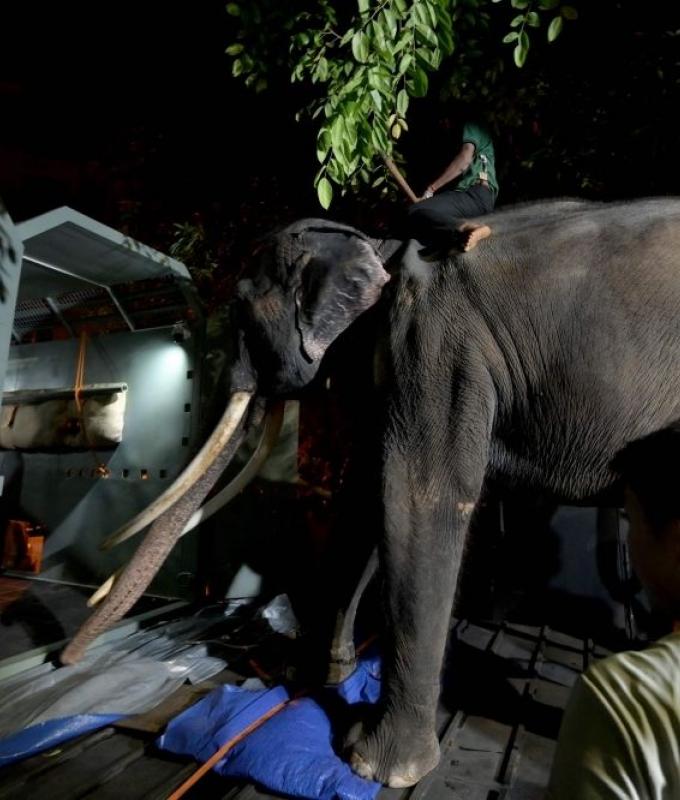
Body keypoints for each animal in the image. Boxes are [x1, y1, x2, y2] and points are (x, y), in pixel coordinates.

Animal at [62, 197, 680, 788]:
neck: (376, 247)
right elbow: (360, 502)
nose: (66, 658)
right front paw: (313, 677)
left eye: (239, 309)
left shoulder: (436, 348)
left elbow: (414, 499)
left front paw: (374, 765)